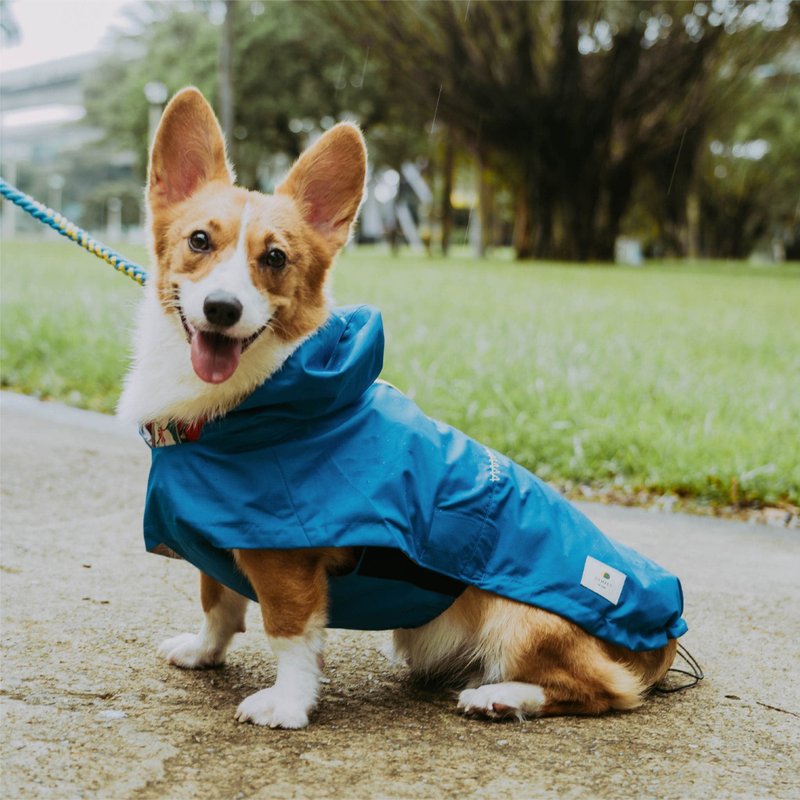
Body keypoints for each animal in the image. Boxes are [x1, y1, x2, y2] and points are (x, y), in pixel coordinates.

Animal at [119, 89, 680, 732]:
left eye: (276, 258)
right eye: (199, 241)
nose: (221, 308)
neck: (246, 404)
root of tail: (664, 633)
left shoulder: (286, 561)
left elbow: (289, 634)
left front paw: (288, 704)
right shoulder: (220, 539)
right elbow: (217, 602)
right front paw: (202, 651)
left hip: (519, 618)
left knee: (603, 689)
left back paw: (502, 697)